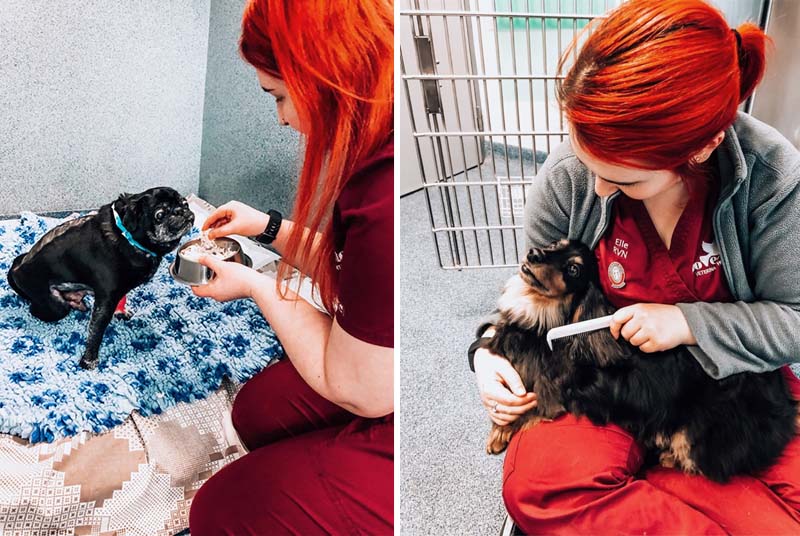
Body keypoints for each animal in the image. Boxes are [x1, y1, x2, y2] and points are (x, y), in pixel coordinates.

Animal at [6, 187, 194, 368]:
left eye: (185, 203)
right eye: (160, 215)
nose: (181, 211)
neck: (128, 238)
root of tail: (16, 271)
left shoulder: (116, 292)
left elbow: (121, 302)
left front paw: (122, 312)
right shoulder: (105, 301)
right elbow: (96, 333)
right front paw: (89, 360)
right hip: (56, 307)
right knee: (37, 309)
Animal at [478, 239, 796, 482]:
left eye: (573, 268)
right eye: (556, 245)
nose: (533, 253)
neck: (545, 317)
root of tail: (786, 407)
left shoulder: (553, 394)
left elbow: (528, 409)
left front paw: (501, 432)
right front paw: (497, 429)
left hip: (694, 432)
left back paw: (667, 457)